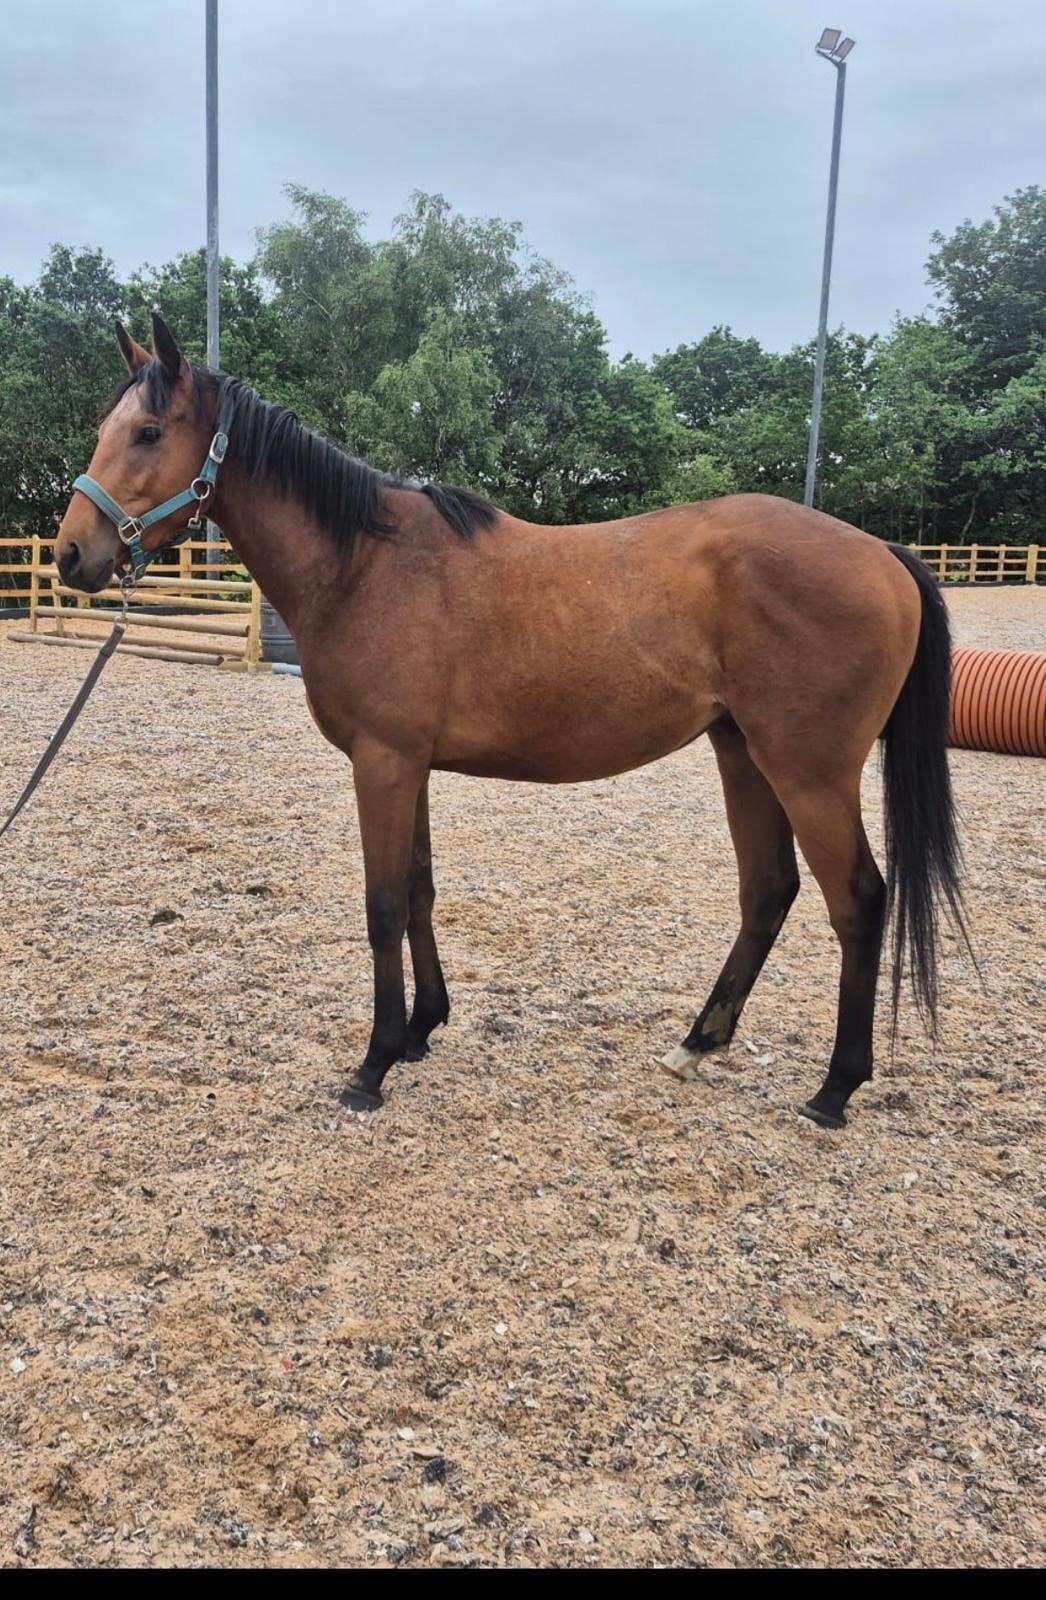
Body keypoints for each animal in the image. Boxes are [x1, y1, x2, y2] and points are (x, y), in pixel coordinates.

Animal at [53, 314, 970, 1128]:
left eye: (147, 432)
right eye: (106, 429)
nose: (70, 555)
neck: (365, 565)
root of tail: (883, 552)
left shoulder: (383, 762)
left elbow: (383, 904)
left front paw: (374, 1064)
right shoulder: (408, 762)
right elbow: (420, 891)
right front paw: (422, 1030)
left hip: (809, 770)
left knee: (858, 901)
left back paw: (836, 1087)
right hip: (742, 751)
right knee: (768, 890)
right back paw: (697, 1043)